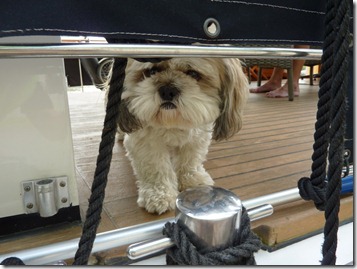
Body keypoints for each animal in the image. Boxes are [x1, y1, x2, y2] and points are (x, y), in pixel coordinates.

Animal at [117, 57, 248, 214]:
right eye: (152, 71)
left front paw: (192, 180)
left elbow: (190, 160)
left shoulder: (196, 137)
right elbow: (156, 168)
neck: (172, 123)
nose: (167, 90)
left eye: (193, 74)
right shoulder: (147, 143)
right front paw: (159, 194)